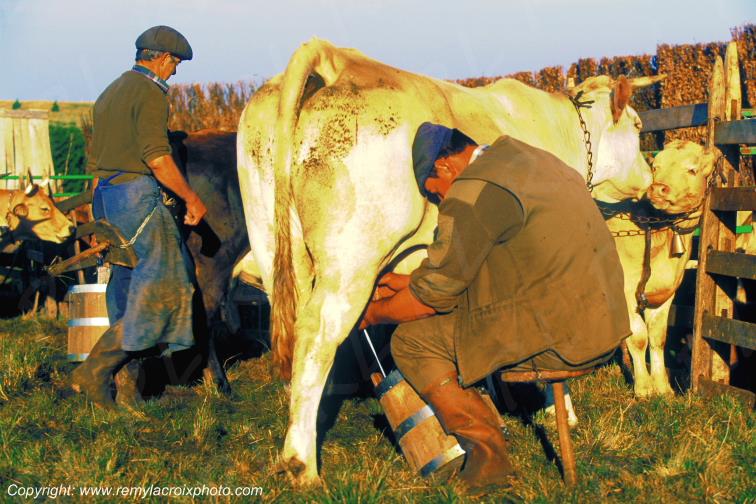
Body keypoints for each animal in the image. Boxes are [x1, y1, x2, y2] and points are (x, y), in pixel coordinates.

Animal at [609, 140, 719, 397]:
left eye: (692, 170)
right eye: (655, 167)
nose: (658, 188)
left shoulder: (664, 294)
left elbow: (657, 337)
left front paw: (663, 388)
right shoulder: (625, 292)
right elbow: (638, 337)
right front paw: (643, 388)